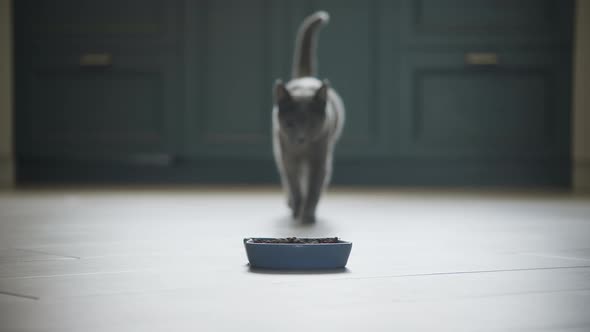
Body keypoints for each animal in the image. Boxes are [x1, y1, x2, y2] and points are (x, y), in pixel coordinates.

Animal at [272, 11, 346, 223]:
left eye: (312, 124)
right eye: (290, 123)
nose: (300, 138)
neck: (302, 151)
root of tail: (304, 78)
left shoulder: (320, 160)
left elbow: (314, 188)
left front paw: (308, 215)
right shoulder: (288, 157)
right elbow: (295, 186)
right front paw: (298, 210)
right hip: (280, 151)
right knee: (288, 181)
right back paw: (292, 205)